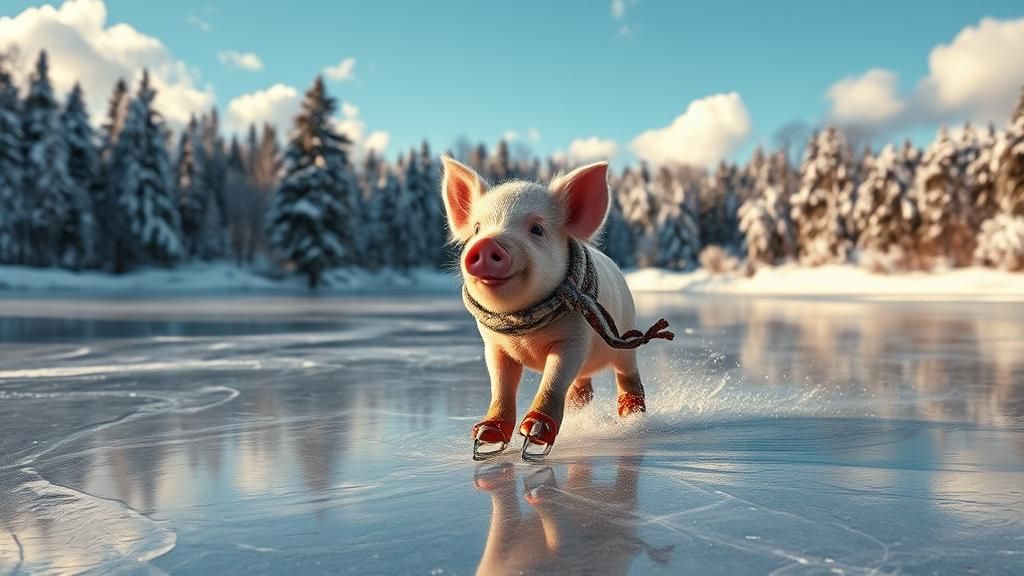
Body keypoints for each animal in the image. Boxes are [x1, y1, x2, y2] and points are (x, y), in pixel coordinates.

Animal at [440, 157, 670, 460]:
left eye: (537, 229)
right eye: (477, 228)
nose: (487, 243)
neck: (523, 329)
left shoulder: (574, 339)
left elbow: (553, 380)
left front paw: (534, 438)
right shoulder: (494, 346)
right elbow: (501, 387)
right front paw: (486, 438)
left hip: (626, 335)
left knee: (627, 373)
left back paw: (632, 415)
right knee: (581, 385)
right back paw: (577, 411)